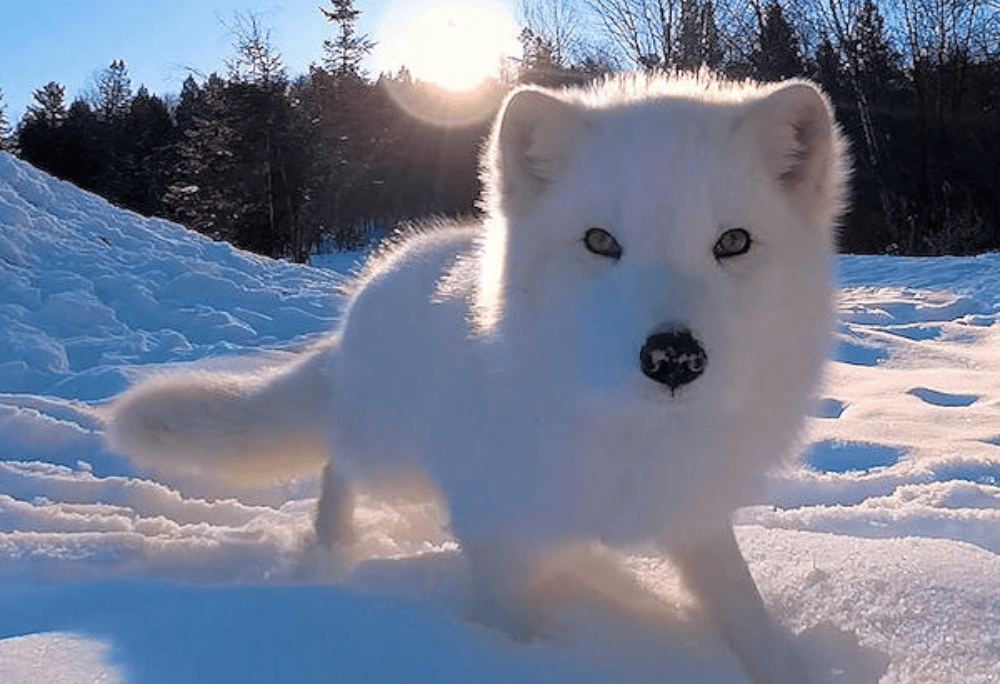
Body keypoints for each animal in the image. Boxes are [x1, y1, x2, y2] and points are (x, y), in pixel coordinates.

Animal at [106, 72, 848, 684]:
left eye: (733, 243)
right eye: (601, 242)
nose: (673, 357)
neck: (629, 434)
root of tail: (366, 293)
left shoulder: (693, 516)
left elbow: (744, 607)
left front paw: (784, 667)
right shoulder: (494, 531)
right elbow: (507, 622)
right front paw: (501, 661)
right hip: (389, 458)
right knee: (336, 466)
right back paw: (329, 551)